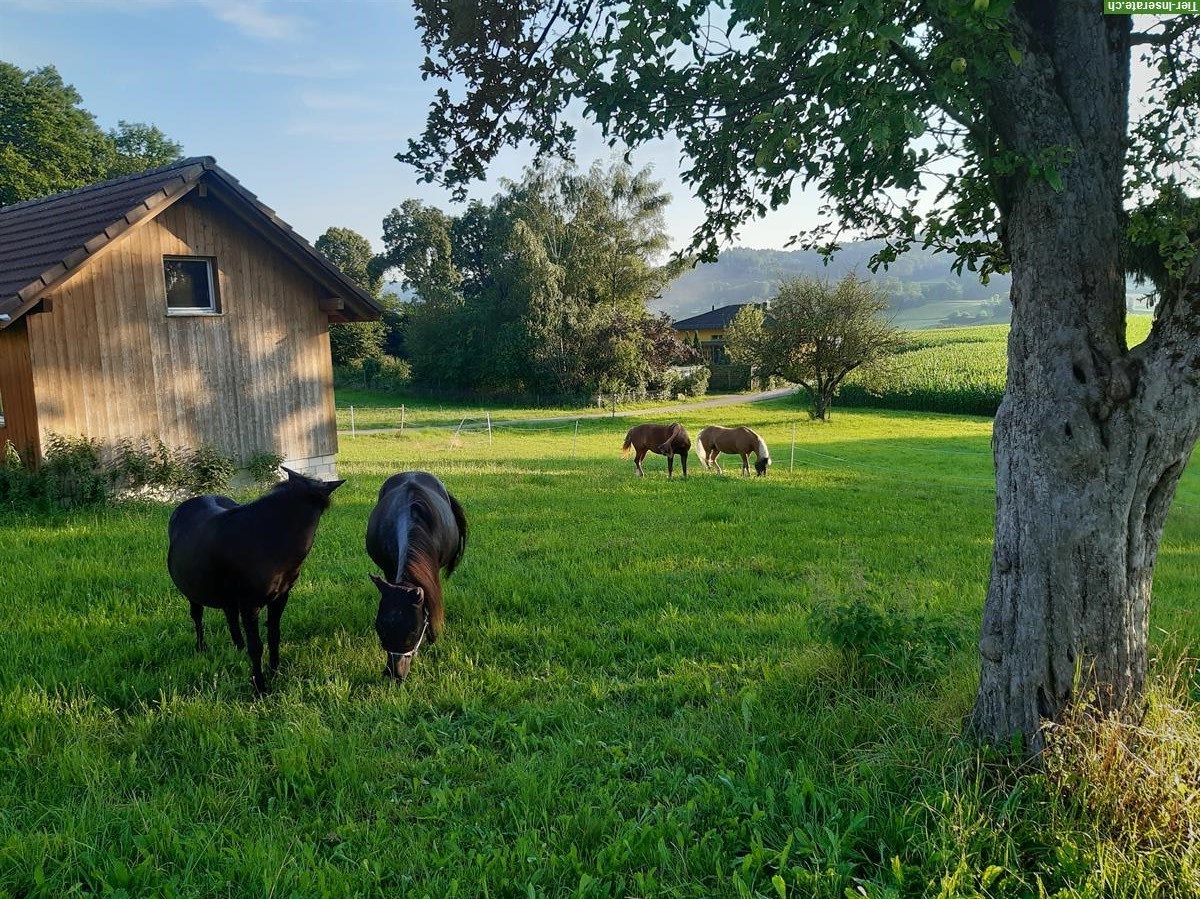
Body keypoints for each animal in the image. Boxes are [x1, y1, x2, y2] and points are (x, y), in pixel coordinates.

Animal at [165, 465, 343, 691]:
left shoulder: (280, 597)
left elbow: (274, 636)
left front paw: (274, 672)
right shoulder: (249, 603)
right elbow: (256, 646)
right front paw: (260, 687)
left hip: (227, 595)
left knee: (230, 617)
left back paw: (238, 649)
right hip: (193, 589)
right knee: (197, 616)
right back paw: (201, 647)